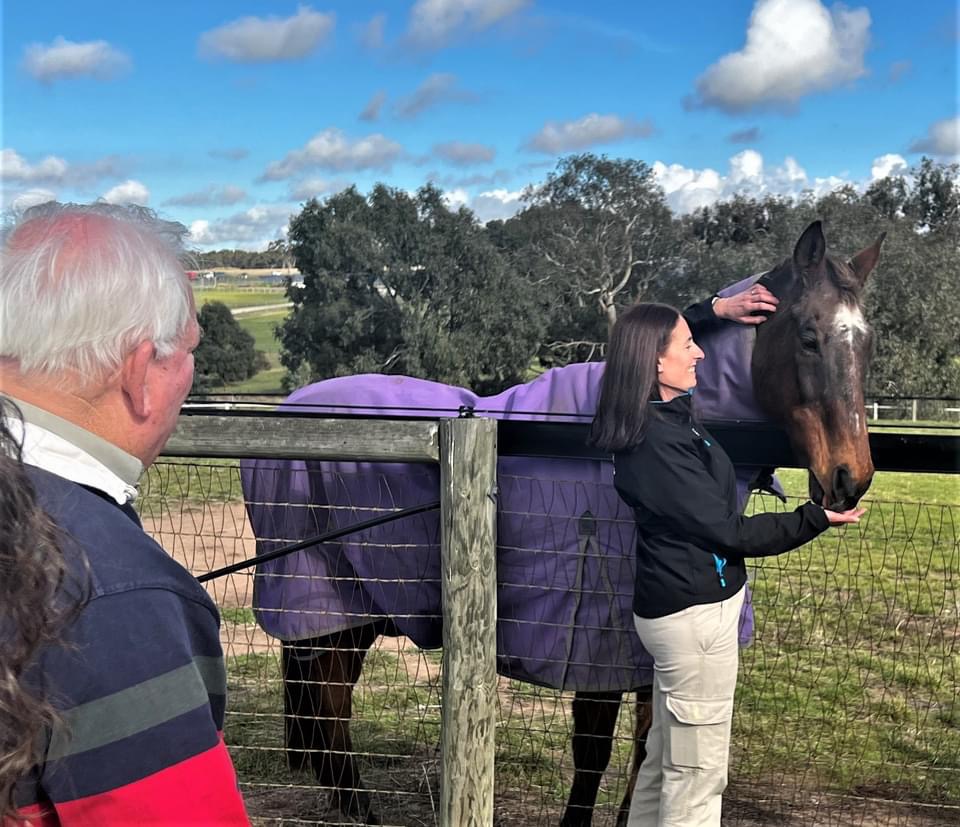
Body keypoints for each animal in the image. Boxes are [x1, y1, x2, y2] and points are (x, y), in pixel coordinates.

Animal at [240, 221, 883, 825]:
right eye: (808, 337)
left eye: (867, 344)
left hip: (351, 609)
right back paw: (362, 810)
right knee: (329, 703)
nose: (849, 478)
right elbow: (594, 748)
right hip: (328, 604)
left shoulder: (640, 655)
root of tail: (288, 410)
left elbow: (648, 745)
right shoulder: (597, 642)